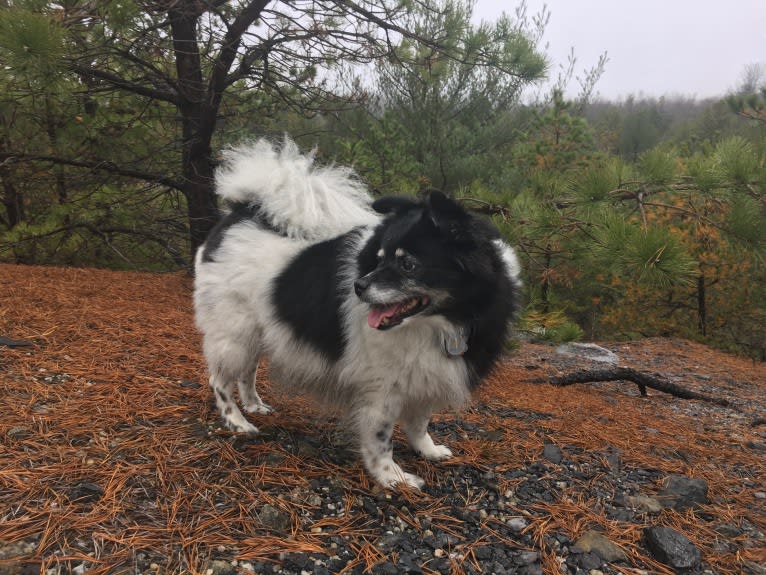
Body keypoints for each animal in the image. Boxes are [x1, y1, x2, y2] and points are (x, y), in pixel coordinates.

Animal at [195, 137, 524, 488]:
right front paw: (392, 477)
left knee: (247, 371)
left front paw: (427, 450)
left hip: (256, 333)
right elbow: (381, 438)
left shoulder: (425, 376)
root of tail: (242, 213)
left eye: (408, 265)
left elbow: (420, 422)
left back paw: (254, 405)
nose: (358, 286)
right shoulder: (381, 389)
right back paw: (237, 421)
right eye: (379, 259)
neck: (440, 322)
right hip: (234, 334)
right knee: (220, 380)